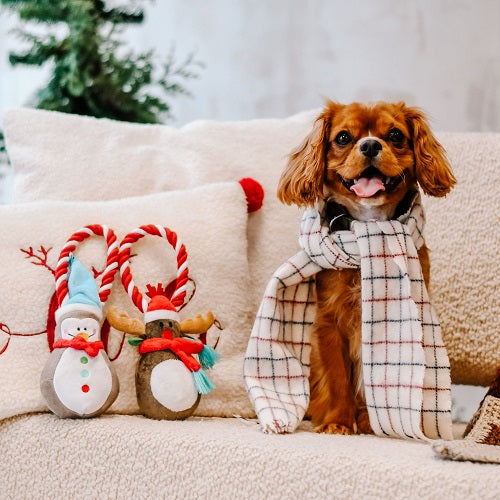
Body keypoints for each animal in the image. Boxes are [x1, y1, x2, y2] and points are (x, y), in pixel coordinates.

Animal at [280, 101, 456, 434]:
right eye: (343, 137)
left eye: (395, 135)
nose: (371, 144)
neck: (368, 228)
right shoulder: (328, 323)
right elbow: (337, 378)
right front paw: (338, 422)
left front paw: (367, 422)